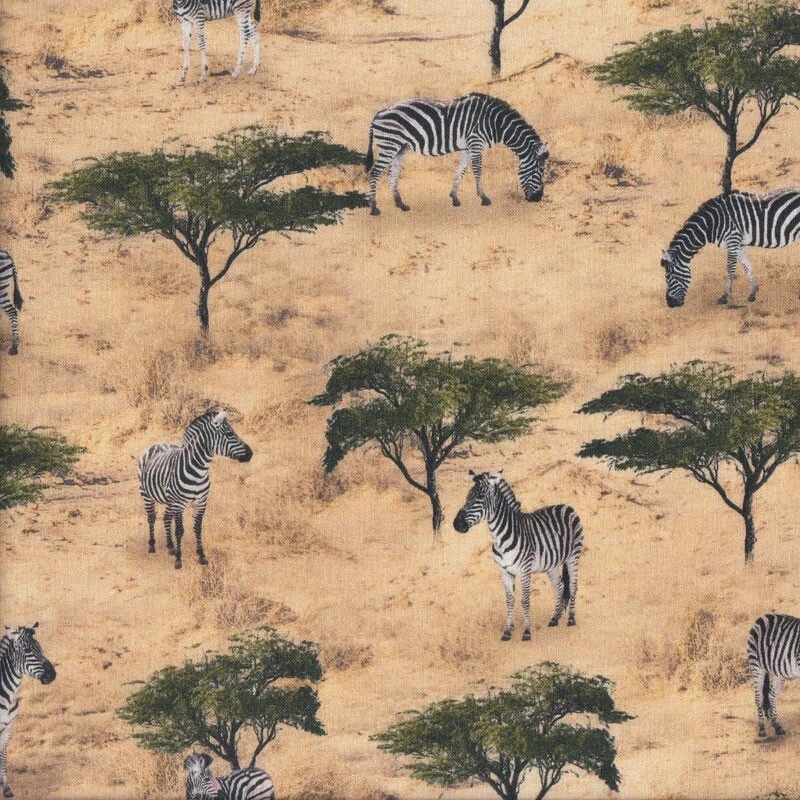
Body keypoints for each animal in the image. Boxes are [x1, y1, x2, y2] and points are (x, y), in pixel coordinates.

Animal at [0, 624, 56, 798]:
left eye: (41, 648)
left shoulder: (8, 727)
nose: (52, 675)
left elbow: (3, 755)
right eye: (27, 650)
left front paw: (6, 788)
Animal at [138, 410, 253, 569]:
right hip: (147, 496)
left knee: (166, 517)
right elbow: (179, 530)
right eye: (229, 434)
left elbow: (198, 528)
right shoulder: (179, 504)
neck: (199, 471)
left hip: (169, 501)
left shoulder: (201, 502)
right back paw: (152, 546)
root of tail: (158, 444)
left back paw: (170, 546)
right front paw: (179, 560)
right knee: (151, 517)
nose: (250, 454)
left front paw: (201, 556)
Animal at [365, 93, 549, 215]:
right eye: (539, 170)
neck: (496, 123)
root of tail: (379, 113)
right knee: (374, 173)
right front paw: (484, 198)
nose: (538, 198)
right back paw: (374, 208)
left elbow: (461, 170)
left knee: (392, 174)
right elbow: (477, 170)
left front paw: (454, 198)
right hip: (389, 145)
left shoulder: (468, 147)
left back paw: (401, 204)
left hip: (400, 148)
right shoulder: (476, 143)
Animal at [453, 470, 583, 642]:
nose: (456, 524)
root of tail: (566, 506)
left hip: (573, 556)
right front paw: (508, 631)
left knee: (573, 586)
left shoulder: (525, 570)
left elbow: (525, 601)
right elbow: (509, 601)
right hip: (551, 564)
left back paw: (571, 619)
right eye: (467, 496)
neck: (500, 539)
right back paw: (555, 618)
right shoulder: (504, 571)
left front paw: (526, 632)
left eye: (480, 496)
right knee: (560, 586)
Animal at [662, 188, 800, 307]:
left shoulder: (733, 240)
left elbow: (730, 269)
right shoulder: (739, 244)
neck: (712, 224)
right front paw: (753, 292)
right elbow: (747, 266)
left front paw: (724, 296)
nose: (670, 304)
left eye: (669, 276)